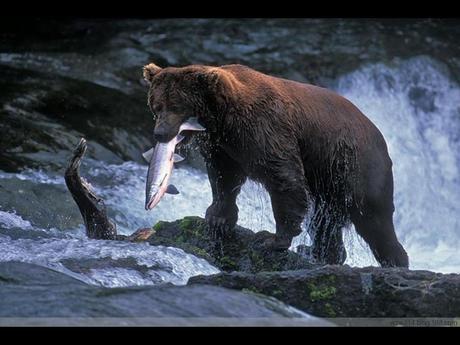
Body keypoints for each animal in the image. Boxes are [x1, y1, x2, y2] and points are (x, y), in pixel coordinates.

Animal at [142, 61, 408, 266]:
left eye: (177, 106)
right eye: (156, 105)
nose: (160, 134)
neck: (222, 119)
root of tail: (381, 138)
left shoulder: (265, 128)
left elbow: (283, 178)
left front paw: (271, 239)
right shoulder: (224, 146)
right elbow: (224, 178)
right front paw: (217, 217)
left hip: (356, 168)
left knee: (374, 221)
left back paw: (395, 262)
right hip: (327, 179)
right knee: (324, 221)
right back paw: (320, 253)